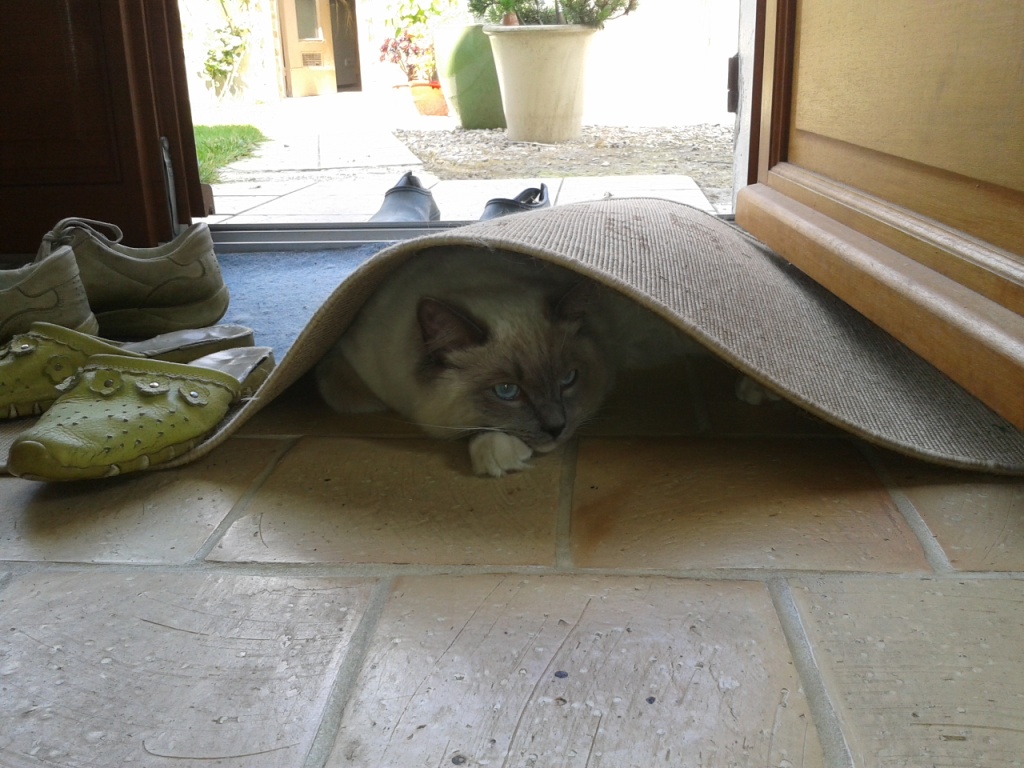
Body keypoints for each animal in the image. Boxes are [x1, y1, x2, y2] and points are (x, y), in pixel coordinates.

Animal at [315, 247, 770, 475]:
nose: (556, 428)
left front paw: (498, 454)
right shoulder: (347, 368)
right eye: (506, 391)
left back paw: (757, 389)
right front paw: (502, 452)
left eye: (568, 379)